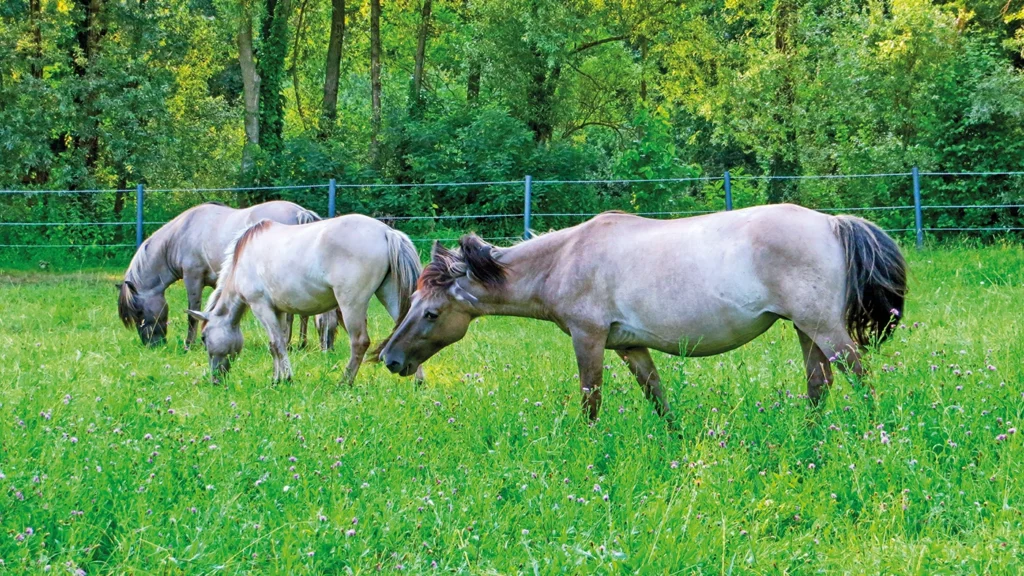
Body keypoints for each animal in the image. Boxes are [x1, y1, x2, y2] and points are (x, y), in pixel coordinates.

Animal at [117, 201, 334, 349]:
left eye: (139, 312)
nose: (151, 344)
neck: (181, 235)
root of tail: (300, 213)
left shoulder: (193, 278)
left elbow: (193, 313)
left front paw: (189, 344)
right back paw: (301, 343)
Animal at [187, 214, 425, 385]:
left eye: (204, 338)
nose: (215, 379)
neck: (242, 263)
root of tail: (387, 232)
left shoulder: (261, 307)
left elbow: (276, 344)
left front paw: (285, 378)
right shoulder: (278, 311)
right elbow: (278, 343)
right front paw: (277, 378)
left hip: (351, 304)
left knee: (359, 342)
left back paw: (344, 382)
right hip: (389, 295)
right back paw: (418, 380)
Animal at [379, 205, 907, 427]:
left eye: (430, 313)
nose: (390, 359)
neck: (565, 259)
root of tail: (832, 224)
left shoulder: (588, 339)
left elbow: (590, 401)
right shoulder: (630, 346)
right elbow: (658, 397)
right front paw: (676, 439)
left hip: (824, 328)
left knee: (861, 376)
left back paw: (877, 431)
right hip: (805, 329)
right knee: (820, 384)